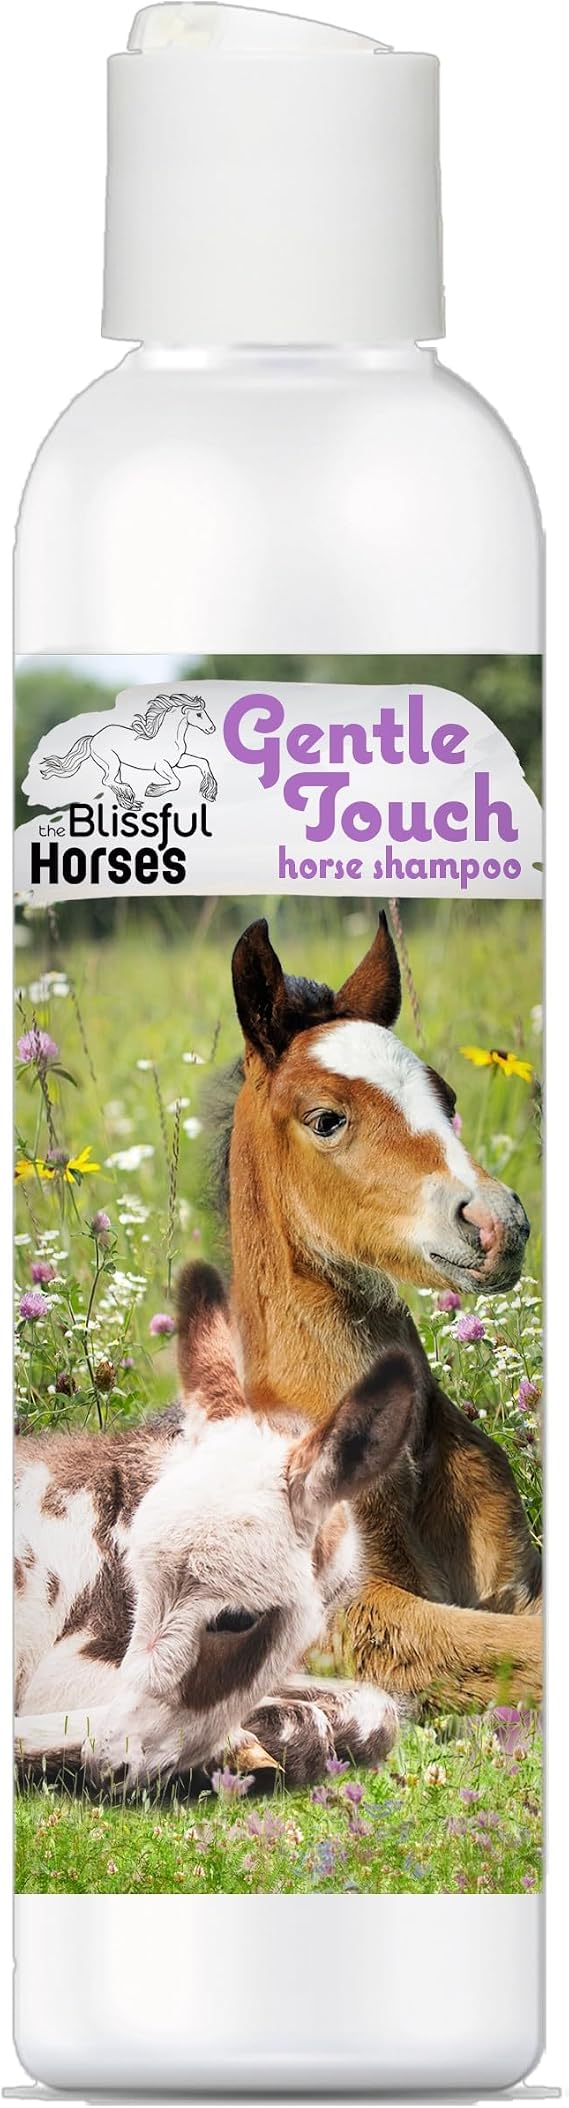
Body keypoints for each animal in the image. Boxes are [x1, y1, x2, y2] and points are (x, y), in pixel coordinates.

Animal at [15, 1262, 413, 1789]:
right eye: (137, 1586)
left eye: (237, 1619)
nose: (107, 1763)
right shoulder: (63, 1671)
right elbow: (315, 1721)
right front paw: (248, 1742)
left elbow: (377, 1707)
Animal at [39, 692, 217, 812]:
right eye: (199, 714)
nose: (212, 729)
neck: (170, 738)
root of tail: (93, 737)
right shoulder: (161, 766)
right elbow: (176, 782)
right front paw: (151, 790)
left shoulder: (178, 762)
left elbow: (203, 762)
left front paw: (210, 794)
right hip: (112, 763)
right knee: (107, 781)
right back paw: (129, 793)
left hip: (115, 766)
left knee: (112, 781)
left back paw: (131, 803)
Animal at [222, 911, 542, 1711]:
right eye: (325, 1119)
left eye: (447, 1096)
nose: (498, 1223)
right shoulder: (340, 1616)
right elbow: (514, 1651)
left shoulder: (516, 1576)